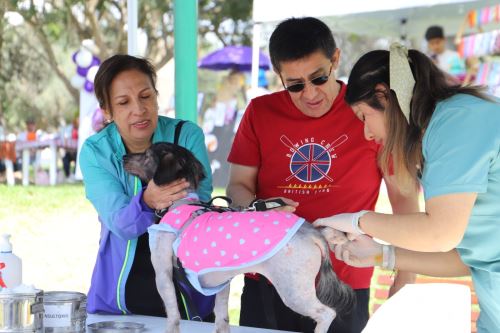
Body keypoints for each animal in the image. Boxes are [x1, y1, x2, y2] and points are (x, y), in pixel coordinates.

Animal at [123, 142, 354, 332]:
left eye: (146, 155)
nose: (123, 157)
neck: (180, 203)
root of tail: (310, 230)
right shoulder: (221, 284)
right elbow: (222, 319)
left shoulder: (163, 274)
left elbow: (173, 317)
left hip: (294, 290)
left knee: (327, 313)